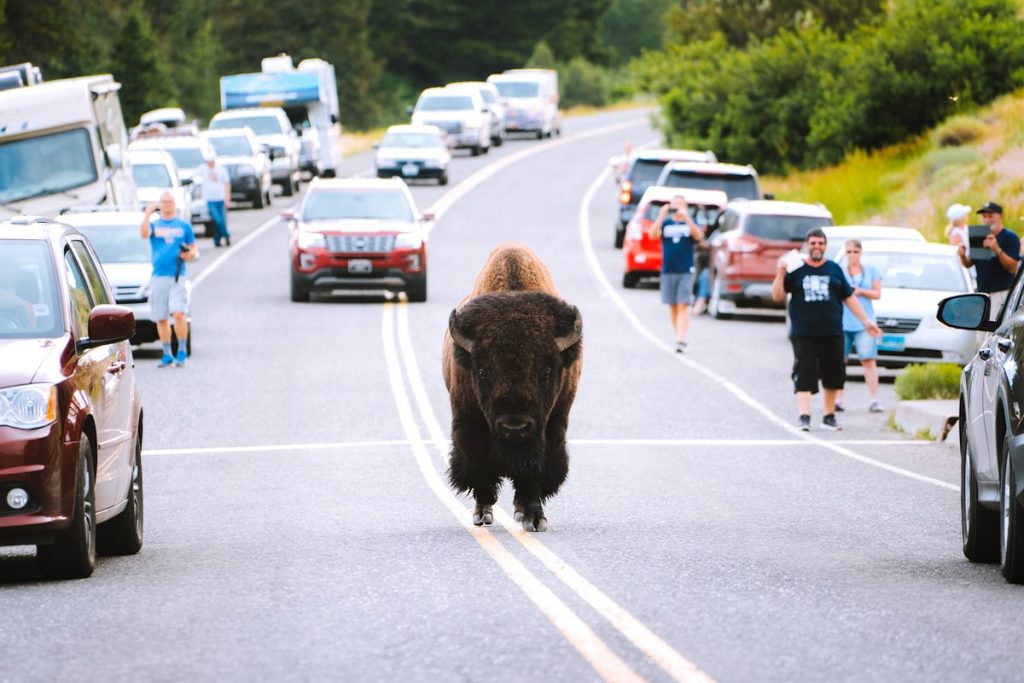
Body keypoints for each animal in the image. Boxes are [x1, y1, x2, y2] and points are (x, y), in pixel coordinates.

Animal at [442, 242, 585, 532]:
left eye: (547, 371)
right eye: (482, 371)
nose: (514, 426)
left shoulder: (553, 424)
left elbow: (534, 470)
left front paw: (534, 517)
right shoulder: (468, 421)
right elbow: (479, 465)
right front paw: (482, 513)